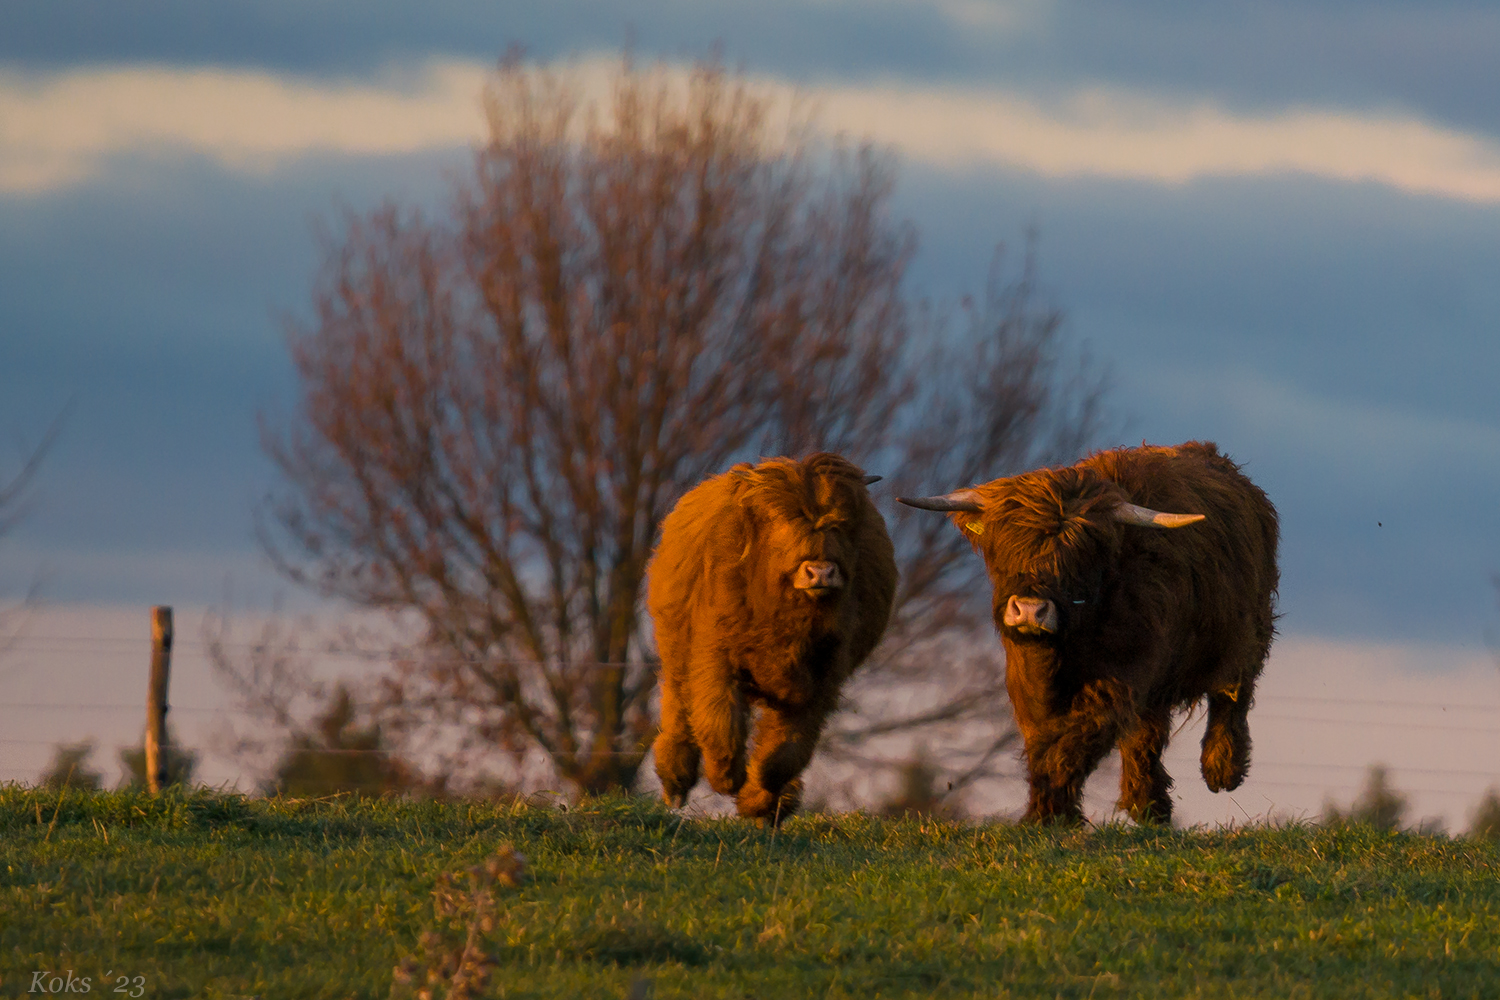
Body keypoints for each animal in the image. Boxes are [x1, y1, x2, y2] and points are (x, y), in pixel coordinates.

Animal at [651, 458, 894, 827]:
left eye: (841, 525)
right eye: (782, 521)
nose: (821, 572)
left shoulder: (822, 677)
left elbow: (787, 750)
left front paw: (758, 798)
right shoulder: (715, 655)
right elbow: (719, 721)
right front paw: (726, 778)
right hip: (677, 647)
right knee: (679, 703)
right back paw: (675, 784)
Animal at [900, 440, 1278, 827]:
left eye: (1077, 555)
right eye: (1005, 547)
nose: (1030, 609)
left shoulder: (1120, 673)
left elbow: (1076, 739)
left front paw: (1050, 815)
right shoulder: (1028, 681)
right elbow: (1044, 742)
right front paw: (1048, 810)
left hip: (1246, 636)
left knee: (1230, 696)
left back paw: (1221, 770)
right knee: (1148, 731)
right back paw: (1149, 805)